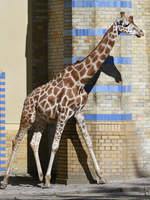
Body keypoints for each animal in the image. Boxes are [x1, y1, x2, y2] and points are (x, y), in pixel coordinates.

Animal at [0, 11, 144, 188]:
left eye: (133, 21)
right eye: (126, 24)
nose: (141, 32)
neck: (81, 79)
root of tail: (27, 98)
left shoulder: (78, 113)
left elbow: (89, 142)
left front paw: (101, 177)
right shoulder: (64, 112)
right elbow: (55, 145)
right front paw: (49, 179)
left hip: (42, 119)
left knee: (34, 142)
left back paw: (39, 177)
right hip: (28, 116)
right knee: (16, 140)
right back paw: (6, 180)